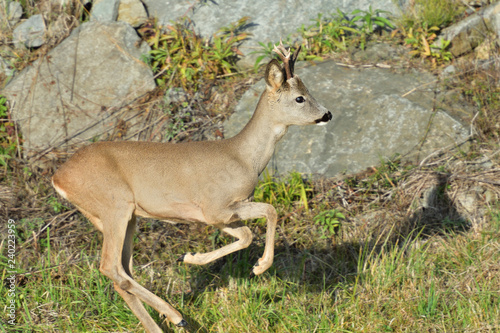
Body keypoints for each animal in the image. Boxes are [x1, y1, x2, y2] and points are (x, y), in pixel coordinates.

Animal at [51, 42, 332, 332]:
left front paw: (190, 257)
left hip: (120, 217)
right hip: (114, 205)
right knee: (110, 267)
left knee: (123, 272)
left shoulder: (217, 216)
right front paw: (260, 266)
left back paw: (160, 324)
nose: (327, 114)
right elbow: (270, 211)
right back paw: (175, 315)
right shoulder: (215, 206)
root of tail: (58, 178)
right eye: (300, 98)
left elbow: (245, 235)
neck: (243, 157)